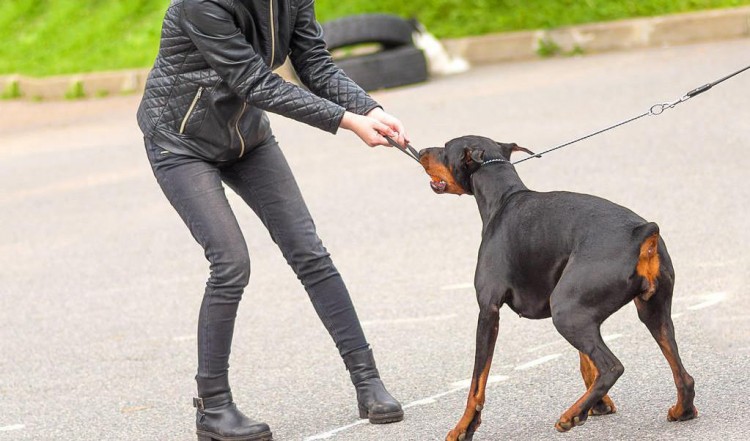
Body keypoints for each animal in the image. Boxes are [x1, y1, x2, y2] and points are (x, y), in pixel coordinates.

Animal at [420, 136, 704, 438]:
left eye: (445, 148)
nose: (422, 150)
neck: (503, 198)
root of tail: (643, 232)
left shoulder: (488, 310)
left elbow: (477, 382)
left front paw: (463, 428)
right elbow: (585, 363)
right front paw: (599, 405)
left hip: (566, 311)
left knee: (612, 366)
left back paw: (570, 415)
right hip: (648, 311)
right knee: (683, 375)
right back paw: (681, 410)